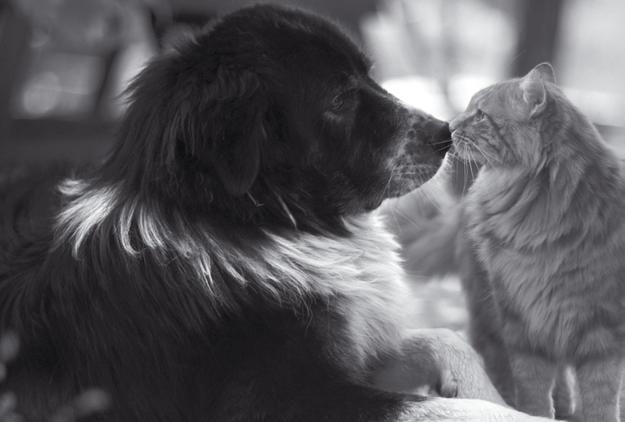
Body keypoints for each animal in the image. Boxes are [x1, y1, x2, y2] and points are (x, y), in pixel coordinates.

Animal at [2, 4, 552, 422]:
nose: (445, 134)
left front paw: (489, 391)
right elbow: (439, 409)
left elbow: (442, 338)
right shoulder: (278, 397)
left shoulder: (348, 350)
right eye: (340, 99)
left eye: (369, 76)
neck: (248, 223)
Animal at [448, 63, 624, 422]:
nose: (449, 126)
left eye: (481, 115)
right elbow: (534, 392)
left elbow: (600, 397)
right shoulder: (523, 322)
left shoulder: (601, 328)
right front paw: (536, 416)